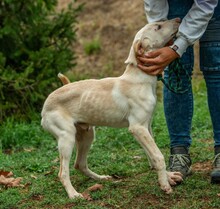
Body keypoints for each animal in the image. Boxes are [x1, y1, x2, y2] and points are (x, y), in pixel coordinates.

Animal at [40, 18, 182, 198]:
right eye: (158, 27)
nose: (178, 19)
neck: (140, 79)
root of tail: (47, 102)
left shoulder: (145, 127)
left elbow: (152, 156)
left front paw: (168, 177)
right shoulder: (137, 127)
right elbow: (158, 156)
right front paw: (165, 185)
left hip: (87, 134)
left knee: (79, 164)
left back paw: (101, 178)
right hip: (66, 138)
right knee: (62, 172)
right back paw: (73, 194)